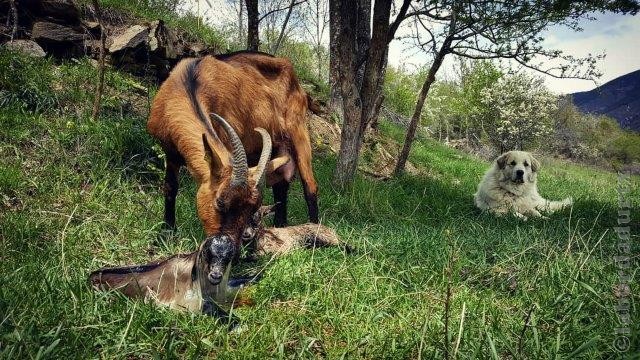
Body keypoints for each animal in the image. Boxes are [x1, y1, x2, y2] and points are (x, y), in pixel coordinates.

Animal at [150, 50, 320, 236]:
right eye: (220, 201)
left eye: (252, 209)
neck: (188, 85)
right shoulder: (170, 153)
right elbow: (170, 187)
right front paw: (166, 233)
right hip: (278, 149)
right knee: (280, 187)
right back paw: (280, 227)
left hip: (299, 133)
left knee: (310, 187)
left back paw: (315, 229)